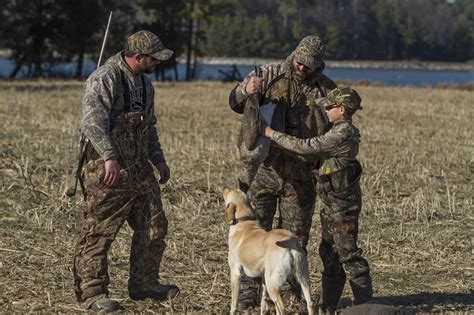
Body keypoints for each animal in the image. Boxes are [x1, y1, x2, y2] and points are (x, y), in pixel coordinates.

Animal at [223, 186, 314, 314]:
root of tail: (291, 242)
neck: (244, 221)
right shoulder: (263, 277)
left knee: (281, 307)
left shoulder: (236, 273)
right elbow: (263, 302)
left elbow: (234, 303)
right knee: (309, 303)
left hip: (273, 282)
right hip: (303, 278)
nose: (224, 187)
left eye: (229, 193)